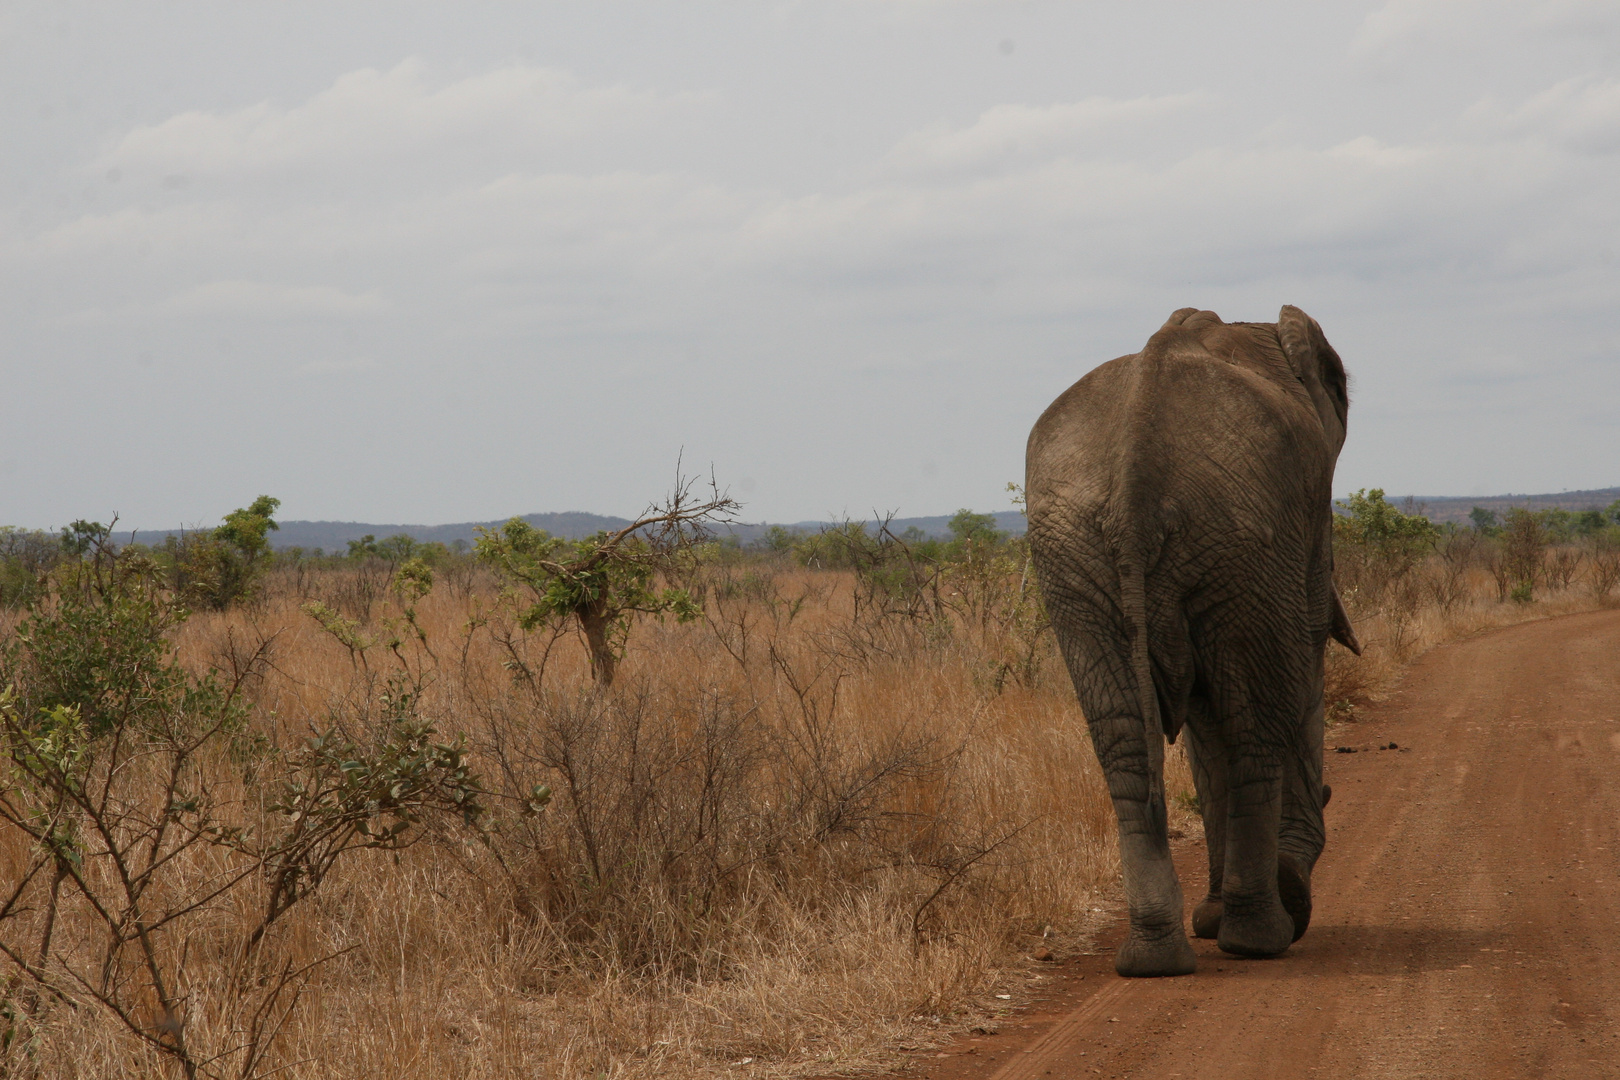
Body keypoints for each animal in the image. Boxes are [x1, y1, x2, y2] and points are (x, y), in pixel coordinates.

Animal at [1030, 306, 1360, 977]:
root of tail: (1134, 469)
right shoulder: (1304, 521)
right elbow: (1304, 659)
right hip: (1242, 536)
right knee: (1255, 721)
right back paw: (1261, 936)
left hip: (1078, 554)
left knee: (1126, 740)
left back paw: (1155, 958)